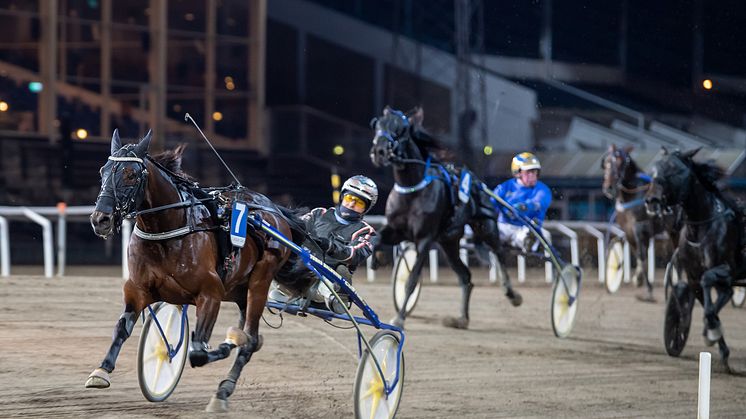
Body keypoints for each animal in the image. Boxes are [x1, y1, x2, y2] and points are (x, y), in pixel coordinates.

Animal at [87, 130, 310, 412]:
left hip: (260, 281)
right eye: (102, 171)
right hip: (239, 290)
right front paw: (101, 370)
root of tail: (273, 209)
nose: (100, 219)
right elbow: (121, 328)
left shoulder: (210, 294)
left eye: (131, 174)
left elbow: (198, 352)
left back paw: (224, 389)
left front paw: (225, 345)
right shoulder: (137, 289)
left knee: (250, 339)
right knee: (251, 335)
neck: (168, 231)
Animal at [370, 106, 520, 330]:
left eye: (401, 129)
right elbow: (377, 239)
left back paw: (512, 294)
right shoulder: (396, 230)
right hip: (449, 242)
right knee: (465, 276)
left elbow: (412, 280)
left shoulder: (424, 239)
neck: (412, 189)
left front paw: (399, 318)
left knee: (499, 253)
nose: (379, 152)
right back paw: (462, 319)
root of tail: (476, 181)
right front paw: (378, 259)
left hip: (486, 226)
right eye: (377, 124)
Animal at [644, 148, 740, 374]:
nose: (652, 200)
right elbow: (705, 303)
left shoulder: (728, 269)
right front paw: (713, 333)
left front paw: (712, 329)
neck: (701, 226)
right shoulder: (693, 276)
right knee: (724, 293)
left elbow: (709, 285)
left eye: (673, 171)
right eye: (653, 170)